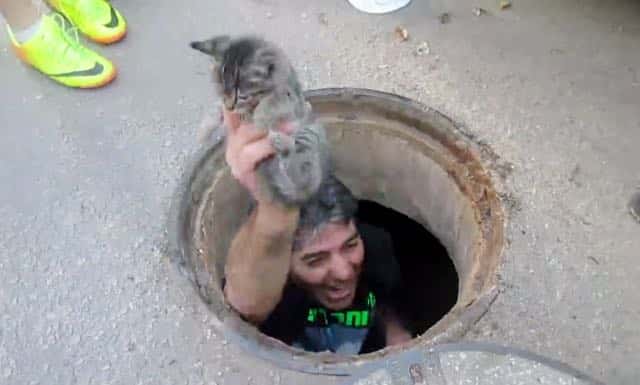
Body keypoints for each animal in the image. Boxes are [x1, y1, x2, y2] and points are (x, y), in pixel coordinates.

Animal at [189, 34, 330, 206]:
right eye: (222, 91)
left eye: (242, 96)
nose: (230, 107)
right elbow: (216, 108)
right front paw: (204, 130)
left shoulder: (292, 99)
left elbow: (275, 100)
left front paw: (259, 119)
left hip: (310, 134)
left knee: (302, 175)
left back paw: (284, 145)